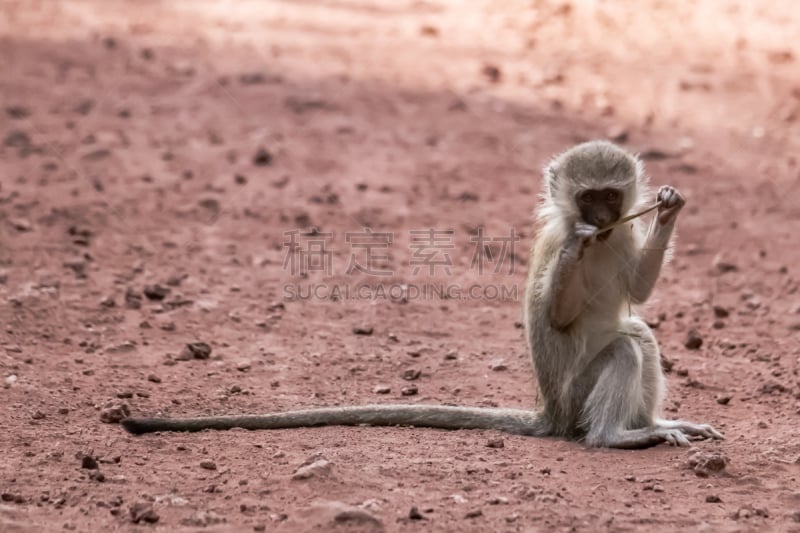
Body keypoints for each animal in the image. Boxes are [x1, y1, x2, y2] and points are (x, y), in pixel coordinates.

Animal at [120, 139, 724, 446]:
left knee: (638, 333)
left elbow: (640, 292)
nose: (597, 222)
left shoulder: (623, 235)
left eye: (611, 197)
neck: (601, 239)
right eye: (587, 198)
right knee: (624, 346)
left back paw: (653, 425)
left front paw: (670, 207)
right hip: (575, 397)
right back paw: (616, 437)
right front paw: (576, 252)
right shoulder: (557, 240)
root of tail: (550, 412)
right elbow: (556, 314)